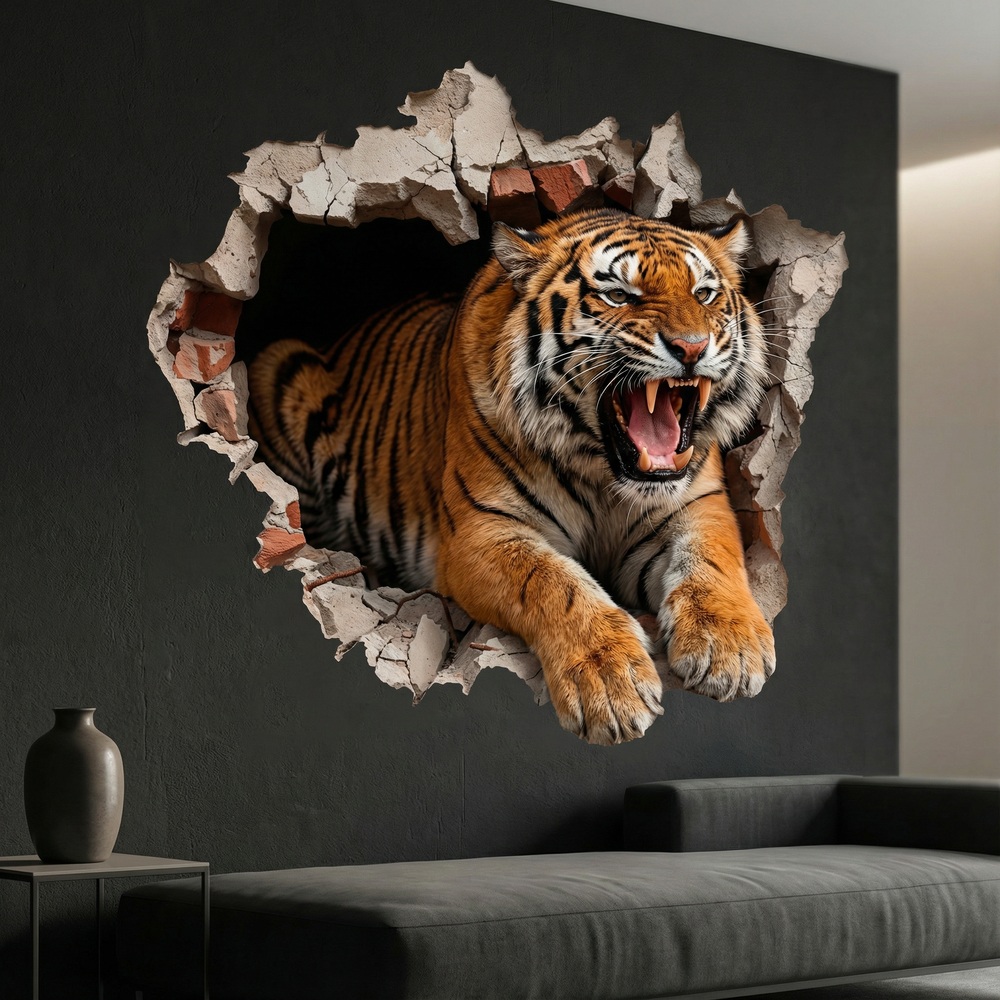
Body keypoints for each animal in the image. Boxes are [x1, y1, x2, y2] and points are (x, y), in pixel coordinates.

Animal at [249, 207, 776, 745]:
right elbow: (554, 583)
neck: (604, 474)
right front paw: (609, 683)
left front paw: (729, 650)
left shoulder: (699, 504)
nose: (691, 348)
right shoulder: (482, 531)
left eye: (703, 294)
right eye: (618, 295)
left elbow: (711, 561)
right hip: (279, 367)